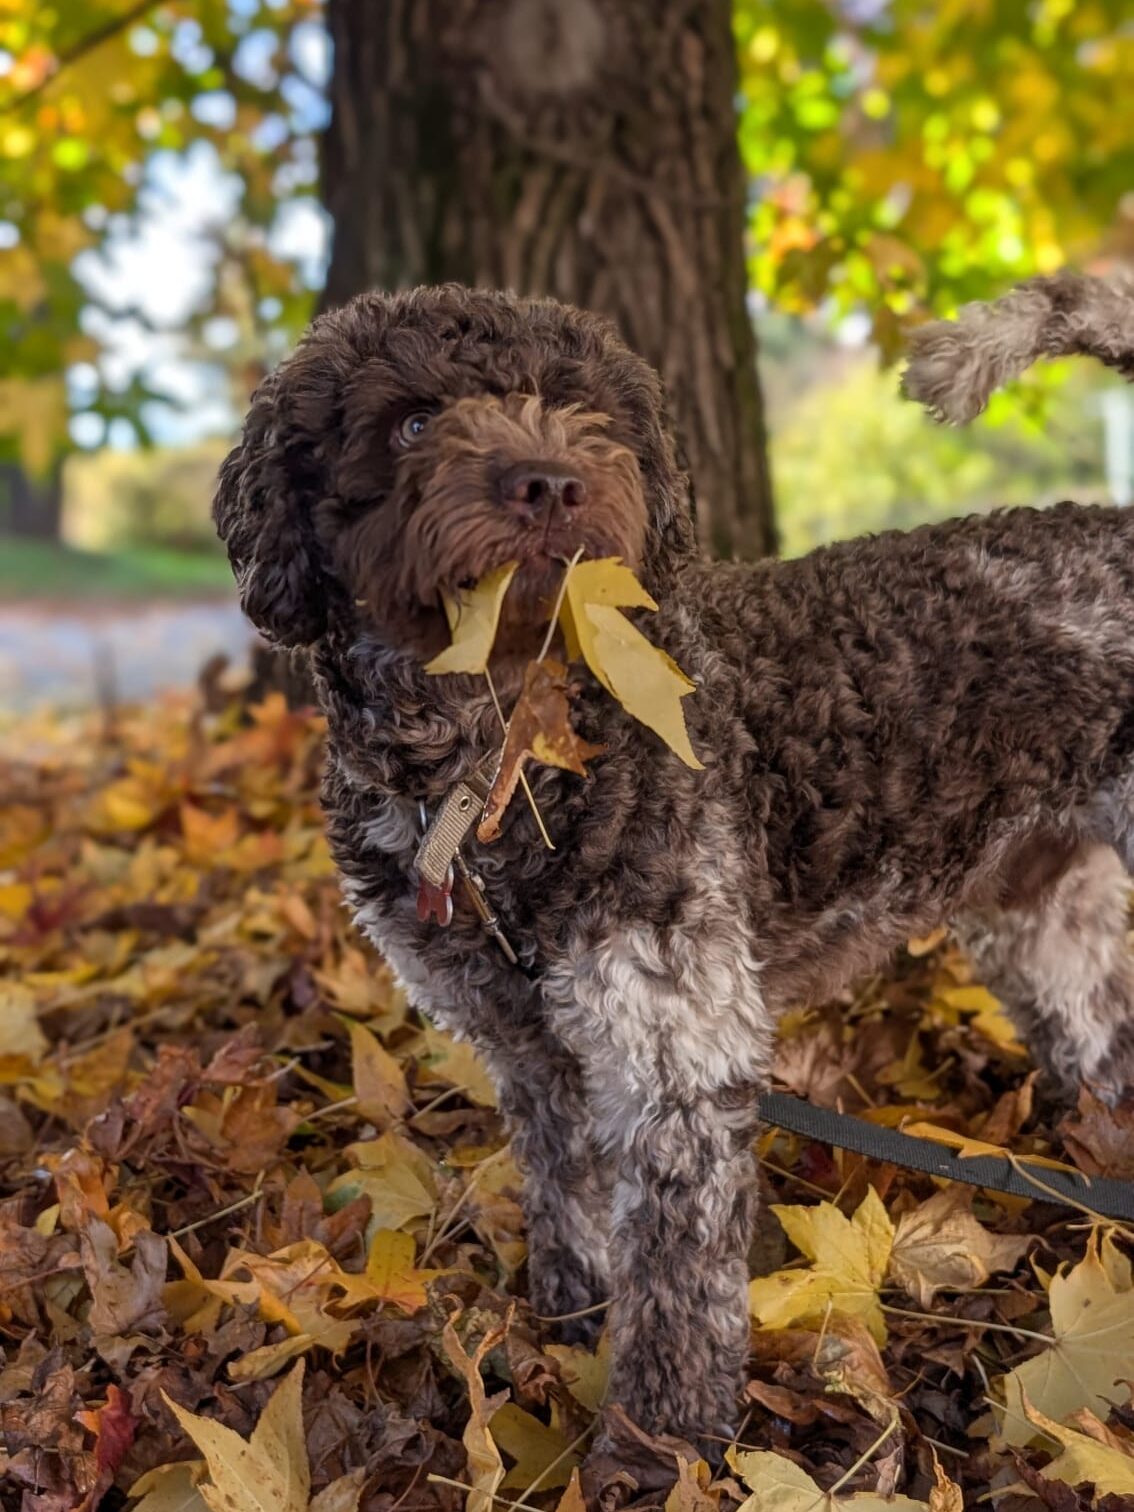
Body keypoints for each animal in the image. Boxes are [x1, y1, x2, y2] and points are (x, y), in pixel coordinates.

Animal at [214, 272, 1134, 1447]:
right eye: (413, 421)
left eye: (581, 409)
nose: (552, 483)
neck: (499, 765)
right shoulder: (534, 1050)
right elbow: (567, 1209)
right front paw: (563, 1332)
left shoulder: (677, 1050)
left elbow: (678, 1299)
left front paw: (657, 1452)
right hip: (1042, 910)